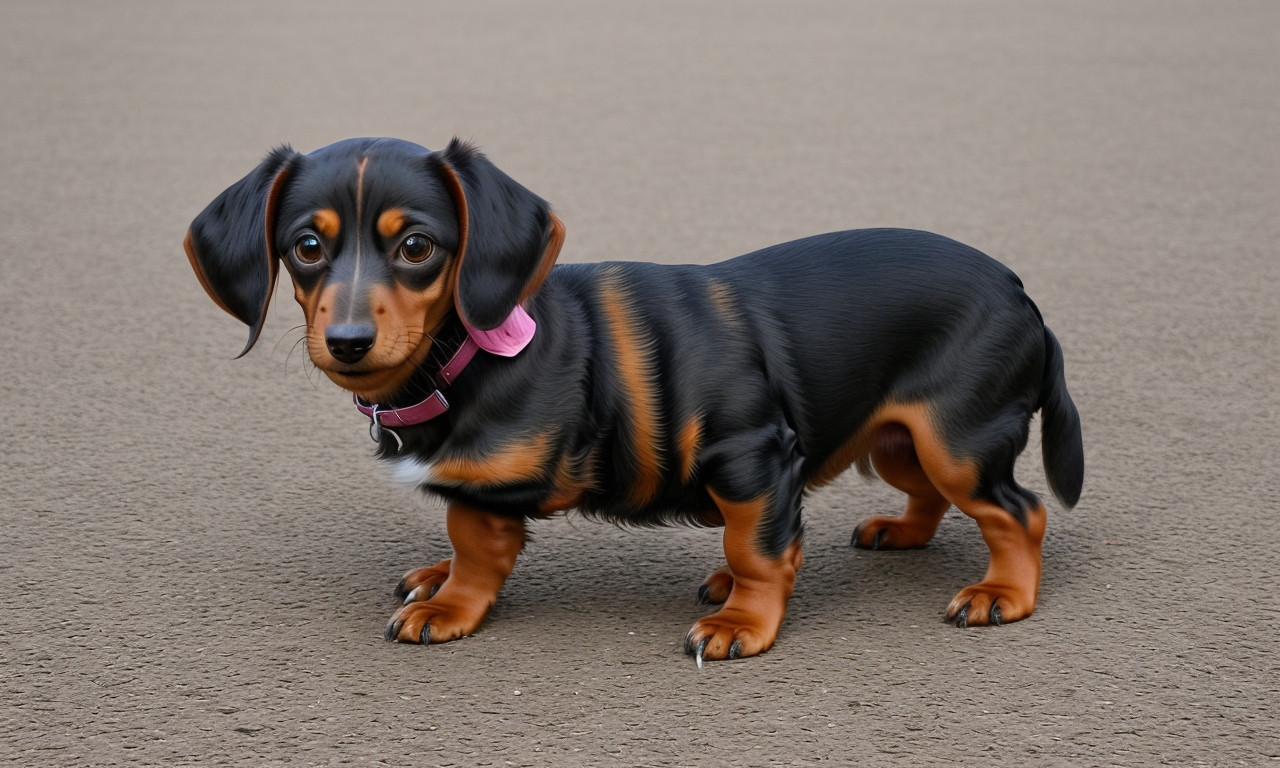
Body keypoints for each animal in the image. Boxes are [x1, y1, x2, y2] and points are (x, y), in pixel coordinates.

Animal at [184, 137, 1083, 664]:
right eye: (306, 246)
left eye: (415, 247)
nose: (346, 342)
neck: (469, 355)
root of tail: (1021, 293)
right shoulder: (479, 489)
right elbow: (474, 544)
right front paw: (447, 590)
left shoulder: (752, 454)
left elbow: (759, 550)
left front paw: (744, 624)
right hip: (901, 436)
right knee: (930, 494)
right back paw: (902, 532)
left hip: (956, 437)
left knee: (1019, 511)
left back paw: (1002, 595)